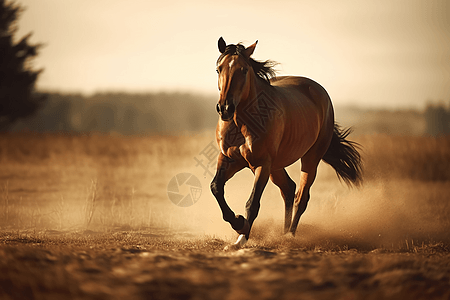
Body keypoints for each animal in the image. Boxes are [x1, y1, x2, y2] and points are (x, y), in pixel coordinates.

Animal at [211, 36, 362, 250]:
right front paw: (238, 223)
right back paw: (282, 233)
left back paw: (290, 235)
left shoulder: (262, 165)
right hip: (276, 167)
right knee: (289, 190)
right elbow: (216, 187)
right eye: (218, 69)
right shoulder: (228, 159)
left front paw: (241, 235)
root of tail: (319, 92)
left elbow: (252, 203)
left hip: (309, 159)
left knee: (301, 196)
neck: (242, 122)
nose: (225, 108)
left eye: (244, 70)